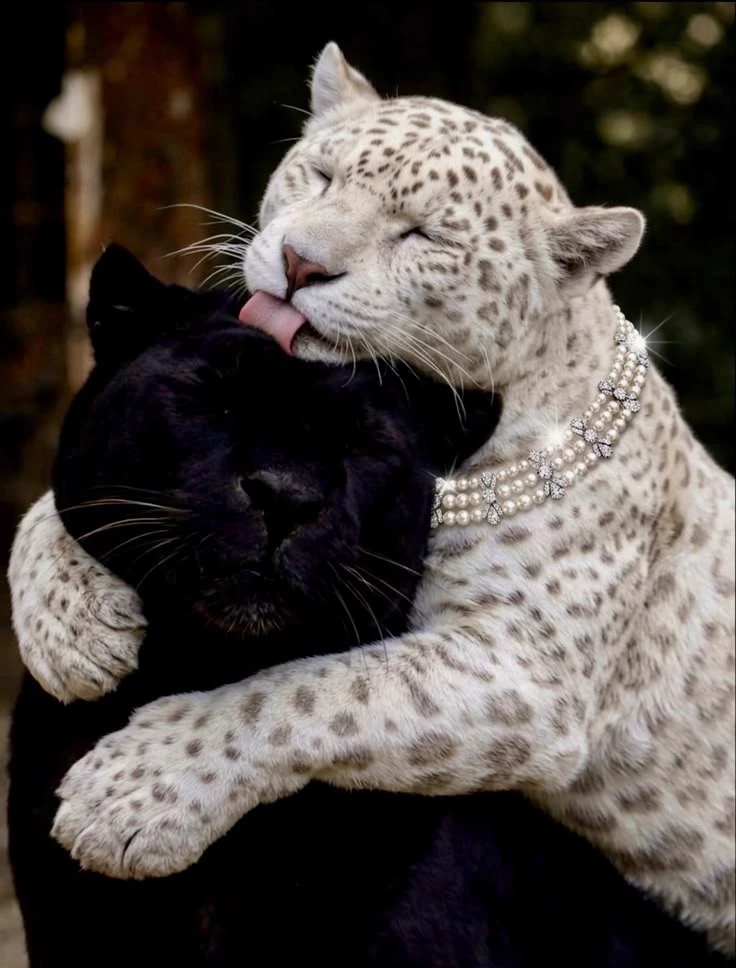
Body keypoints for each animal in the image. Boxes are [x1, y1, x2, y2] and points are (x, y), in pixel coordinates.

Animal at [8, 42, 735, 955]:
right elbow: (48, 513)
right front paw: (72, 628)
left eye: (421, 234)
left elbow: (312, 692)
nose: (300, 264)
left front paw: (132, 794)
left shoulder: (523, 673)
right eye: (320, 177)